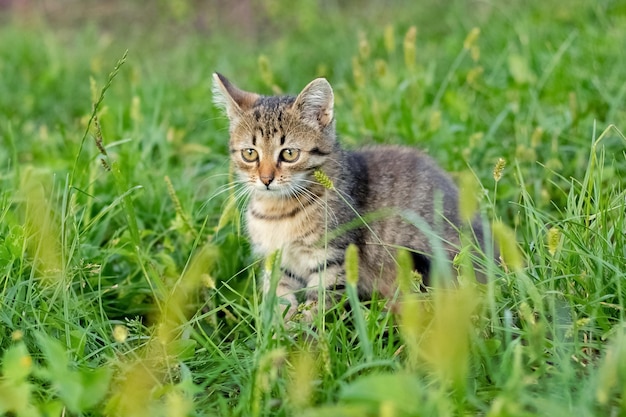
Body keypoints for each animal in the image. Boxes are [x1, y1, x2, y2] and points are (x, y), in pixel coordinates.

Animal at [212, 72, 486, 318]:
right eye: (250, 153)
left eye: (289, 153)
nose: (266, 179)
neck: (277, 211)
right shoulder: (278, 263)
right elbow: (280, 301)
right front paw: (280, 333)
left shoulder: (331, 259)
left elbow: (316, 310)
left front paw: (307, 340)